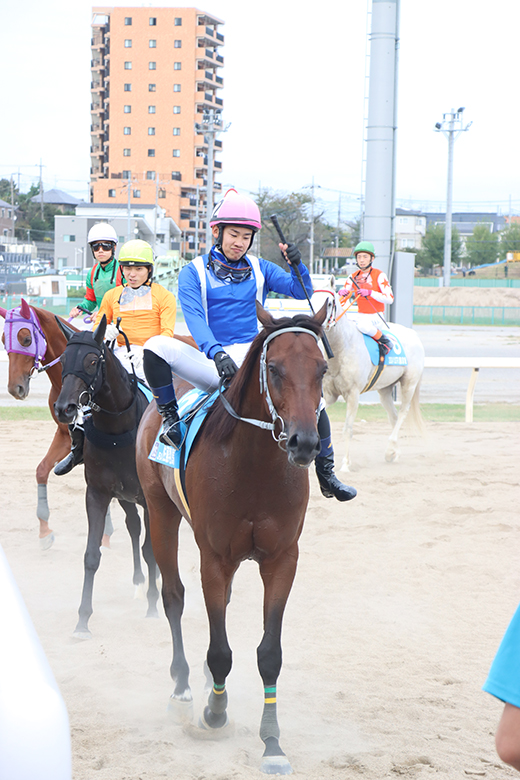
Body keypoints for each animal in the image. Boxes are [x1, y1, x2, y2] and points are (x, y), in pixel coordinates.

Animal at [53, 315, 160, 638]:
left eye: (91, 361)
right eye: (64, 359)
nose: (64, 408)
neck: (117, 430)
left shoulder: (149, 498)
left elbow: (151, 550)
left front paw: (154, 605)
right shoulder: (98, 494)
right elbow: (91, 555)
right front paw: (82, 621)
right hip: (124, 496)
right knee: (133, 526)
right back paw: (139, 582)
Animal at [136, 303, 328, 776]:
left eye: (322, 368)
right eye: (274, 369)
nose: (304, 442)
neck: (255, 466)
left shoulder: (282, 558)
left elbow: (269, 653)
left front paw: (272, 742)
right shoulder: (215, 558)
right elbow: (220, 650)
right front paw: (214, 712)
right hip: (161, 511)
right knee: (173, 597)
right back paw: (184, 689)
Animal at [311, 277, 425, 470]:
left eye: (329, 303)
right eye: (311, 300)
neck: (341, 348)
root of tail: (415, 335)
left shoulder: (353, 394)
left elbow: (348, 429)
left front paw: (345, 464)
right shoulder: (328, 393)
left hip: (409, 383)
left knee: (402, 413)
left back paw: (390, 449)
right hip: (385, 389)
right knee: (393, 416)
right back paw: (394, 452)